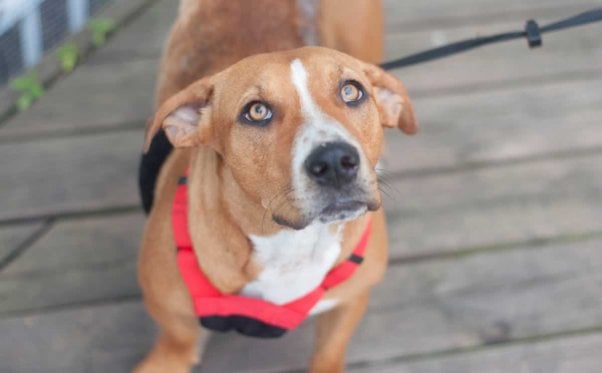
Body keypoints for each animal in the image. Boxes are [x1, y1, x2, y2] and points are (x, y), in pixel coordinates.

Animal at [137, 1, 418, 370]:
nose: (334, 162)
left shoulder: (348, 303)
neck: (289, 244)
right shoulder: (173, 342)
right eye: (257, 112)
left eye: (351, 91)